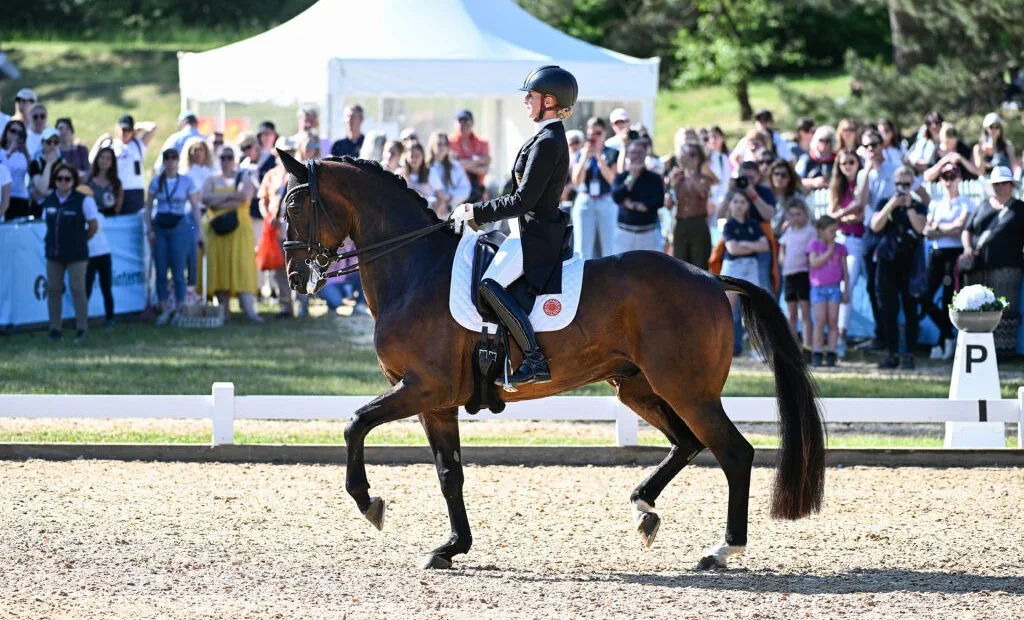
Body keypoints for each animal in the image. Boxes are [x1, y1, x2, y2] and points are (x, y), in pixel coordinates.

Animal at [277, 152, 826, 571]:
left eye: (296, 205)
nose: (295, 277)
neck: (415, 270)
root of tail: (710, 278)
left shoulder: (422, 388)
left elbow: (354, 423)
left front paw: (369, 502)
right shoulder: (436, 403)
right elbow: (449, 474)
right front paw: (451, 548)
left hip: (687, 390)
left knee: (734, 453)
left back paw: (721, 550)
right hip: (639, 387)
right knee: (687, 443)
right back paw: (644, 510)